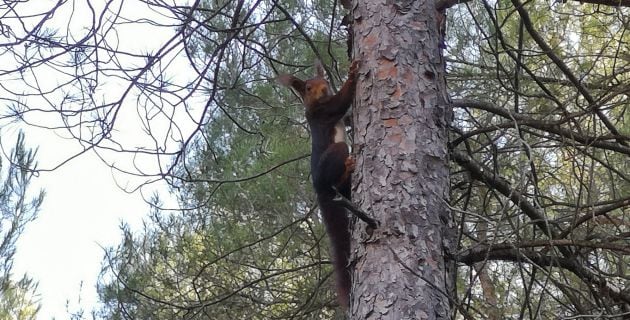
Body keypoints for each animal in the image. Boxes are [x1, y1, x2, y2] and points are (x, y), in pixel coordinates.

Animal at [278, 60, 378, 308]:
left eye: (323, 80)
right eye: (308, 88)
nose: (324, 89)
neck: (315, 105)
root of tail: (319, 188)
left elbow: (348, 115)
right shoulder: (324, 112)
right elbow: (341, 101)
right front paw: (351, 74)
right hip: (335, 155)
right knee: (338, 168)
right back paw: (348, 168)